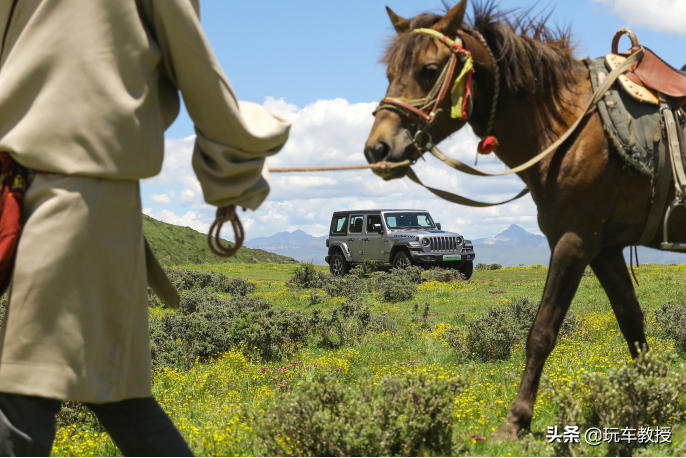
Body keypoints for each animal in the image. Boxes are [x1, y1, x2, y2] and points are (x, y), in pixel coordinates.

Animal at [366, 0, 686, 438]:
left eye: (429, 70)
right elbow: (631, 321)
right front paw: (653, 397)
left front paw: (515, 420)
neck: (568, 126)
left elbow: (541, 332)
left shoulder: (574, 241)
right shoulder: (604, 249)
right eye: (389, 74)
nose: (377, 148)